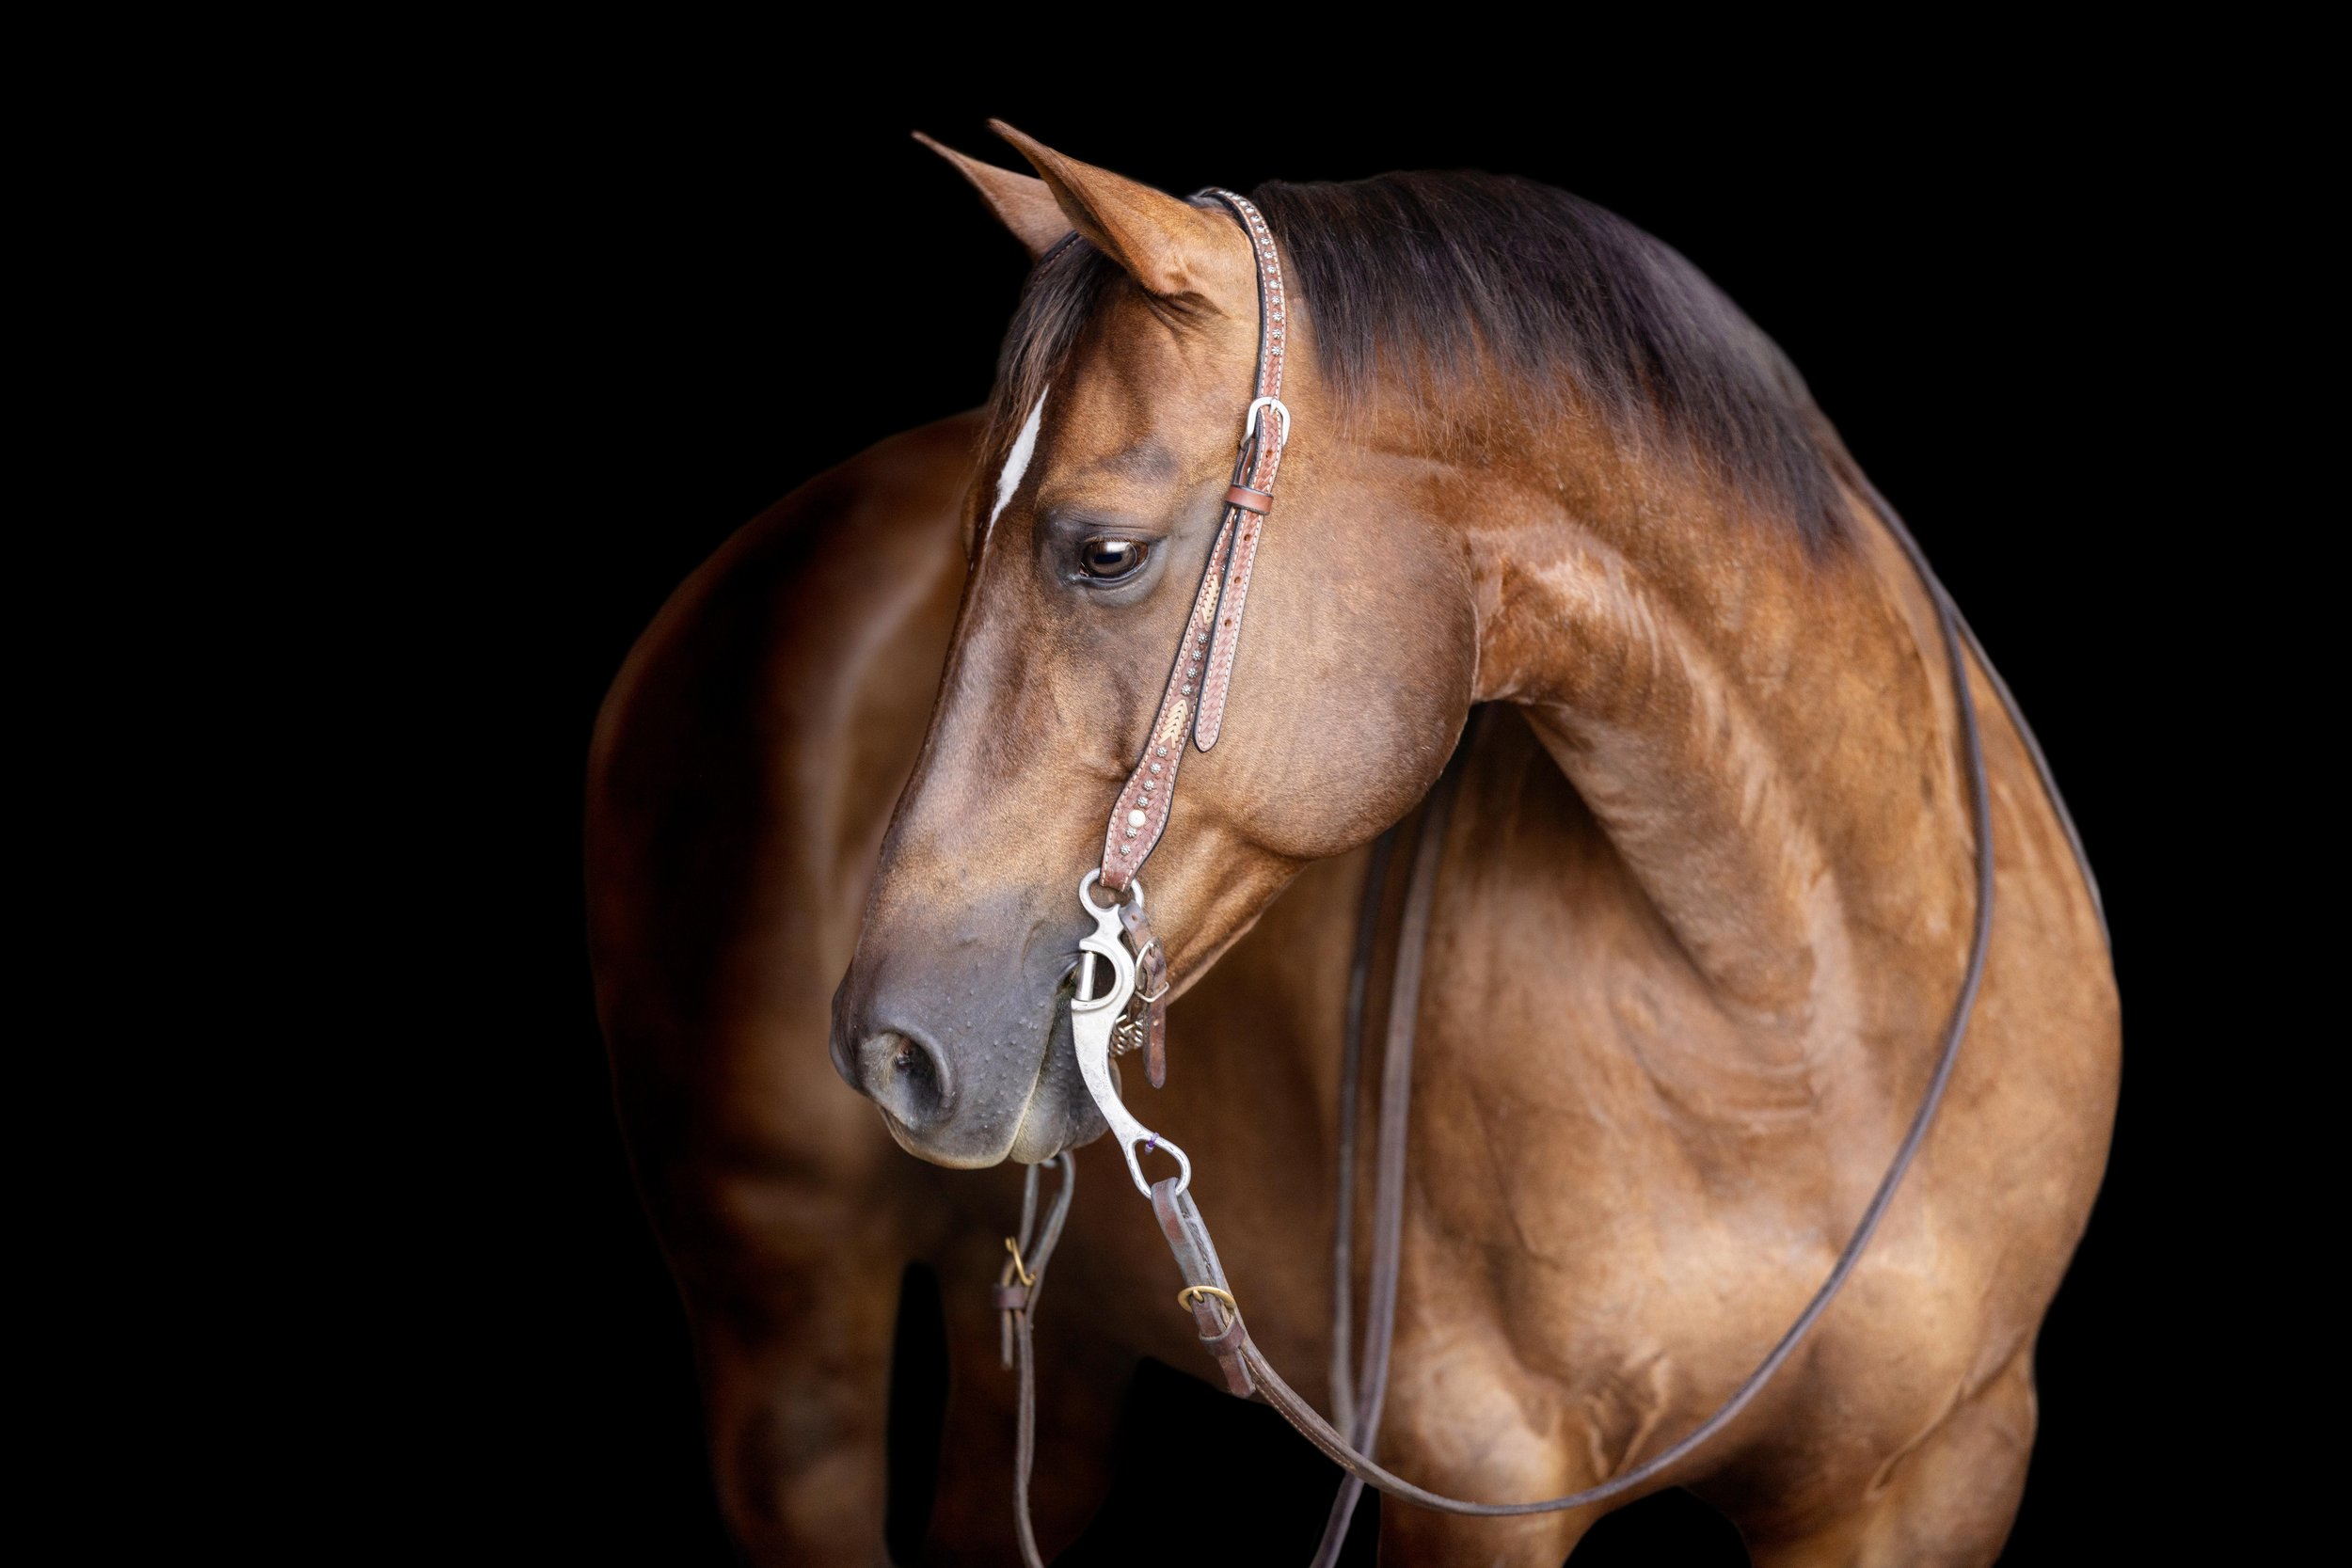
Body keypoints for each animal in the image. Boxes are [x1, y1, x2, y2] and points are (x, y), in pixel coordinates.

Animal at [583, 125, 2117, 1568]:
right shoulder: (1483, 1476)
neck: (1795, 1021)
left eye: (1102, 553)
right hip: (786, 1338)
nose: (889, 1046)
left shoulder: (1941, 1477)